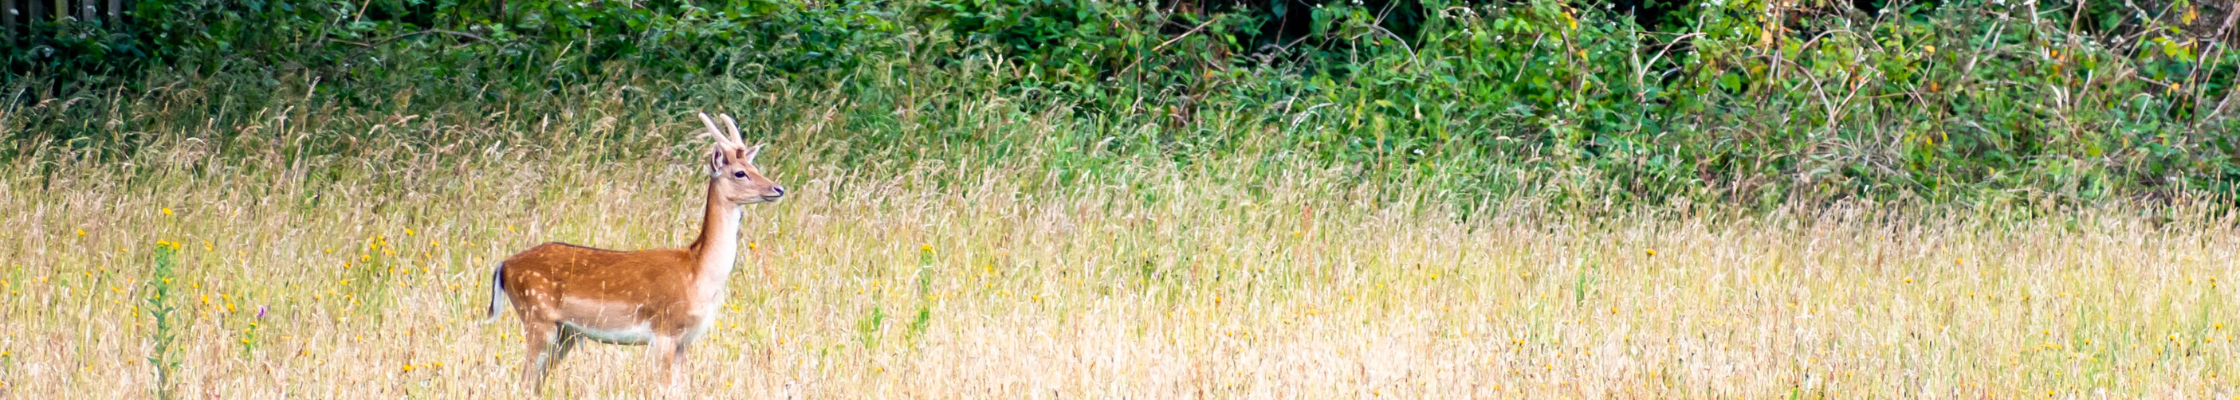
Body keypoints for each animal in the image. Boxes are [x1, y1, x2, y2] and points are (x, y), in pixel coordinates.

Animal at [483, 112, 784, 394]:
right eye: (740, 173)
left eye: (754, 166)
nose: (777, 188)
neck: (697, 273)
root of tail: (504, 265)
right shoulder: (664, 331)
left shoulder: (684, 340)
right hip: (537, 315)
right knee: (523, 381)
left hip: (565, 331)